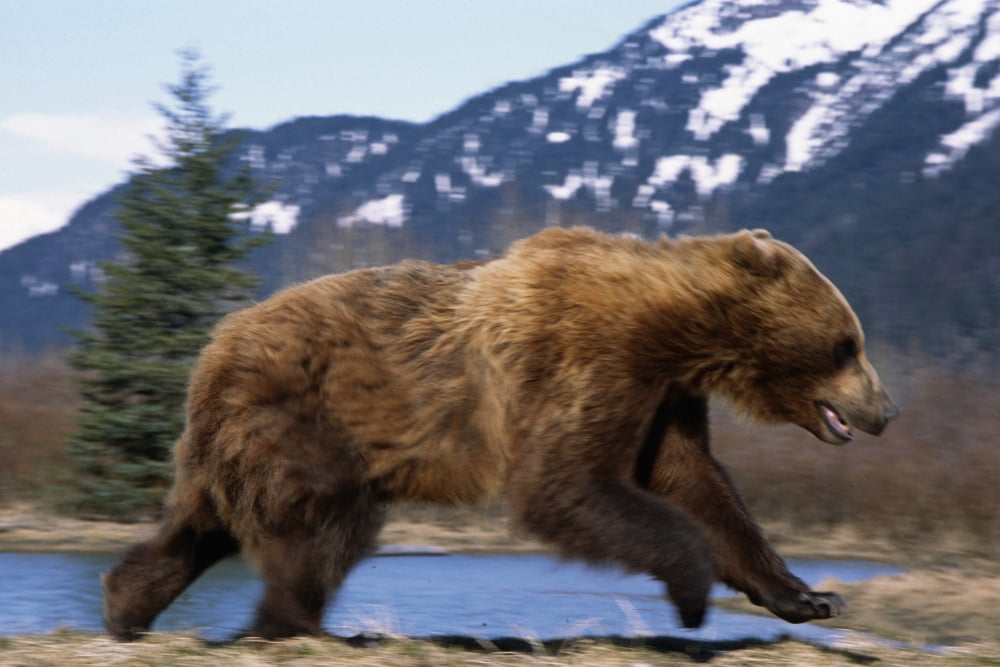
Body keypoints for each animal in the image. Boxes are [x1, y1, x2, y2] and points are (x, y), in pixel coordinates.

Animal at [103, 226, 898, 640]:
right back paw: (295, 623)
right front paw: (693, 593)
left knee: (199, 527)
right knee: (325, 524)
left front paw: (809, 597)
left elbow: (698, 485)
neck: (675, 330)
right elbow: (567, 483)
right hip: (304, 415)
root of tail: (215, 345)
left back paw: (125, 603)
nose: (885, 410)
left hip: (237, 444)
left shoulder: (664, 395)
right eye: (847, 344)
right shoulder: (585, 356)